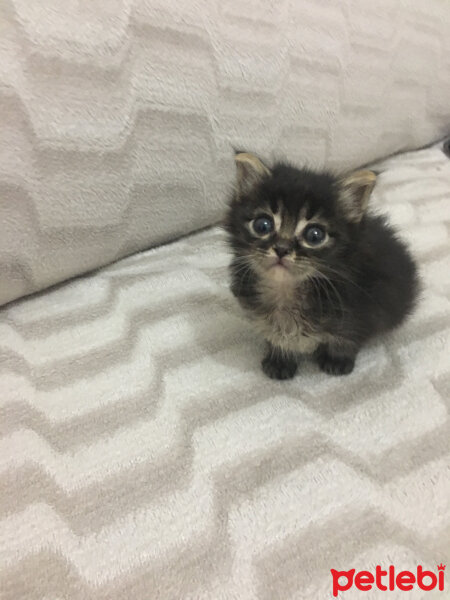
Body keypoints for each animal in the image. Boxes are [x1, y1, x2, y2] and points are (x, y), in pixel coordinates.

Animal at [227, 155, 420, 380]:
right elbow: (276, 334)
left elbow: (346, 338)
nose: (282, 249)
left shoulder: (362, 310)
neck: (286, 292)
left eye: (314, 235)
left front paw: (337, 360)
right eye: (262, 225)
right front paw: (280, 359)